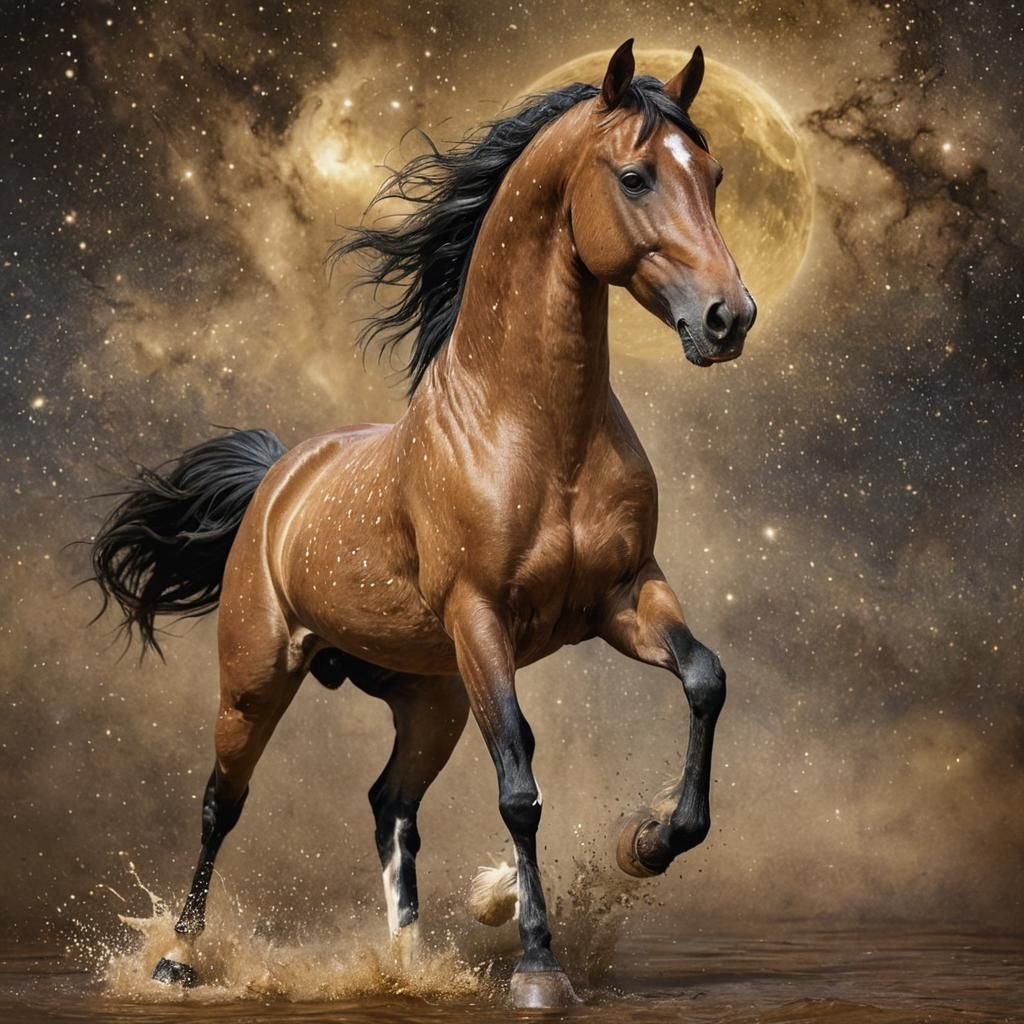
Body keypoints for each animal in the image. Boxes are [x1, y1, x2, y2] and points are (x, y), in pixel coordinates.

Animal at [88, 39, 756, 1008]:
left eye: (712, 173)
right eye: (635, 176)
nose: (729, 318)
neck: (537, 429)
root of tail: (276, 479)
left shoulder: (625, 597)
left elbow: (705, 678)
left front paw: (646, 843)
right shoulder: (481, 619)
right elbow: (518, 780)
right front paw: (538, 965)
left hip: (427, 696)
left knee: (389, 805)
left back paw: (406, 965)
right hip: (256, 677)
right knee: (221, 802)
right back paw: (176, 959)